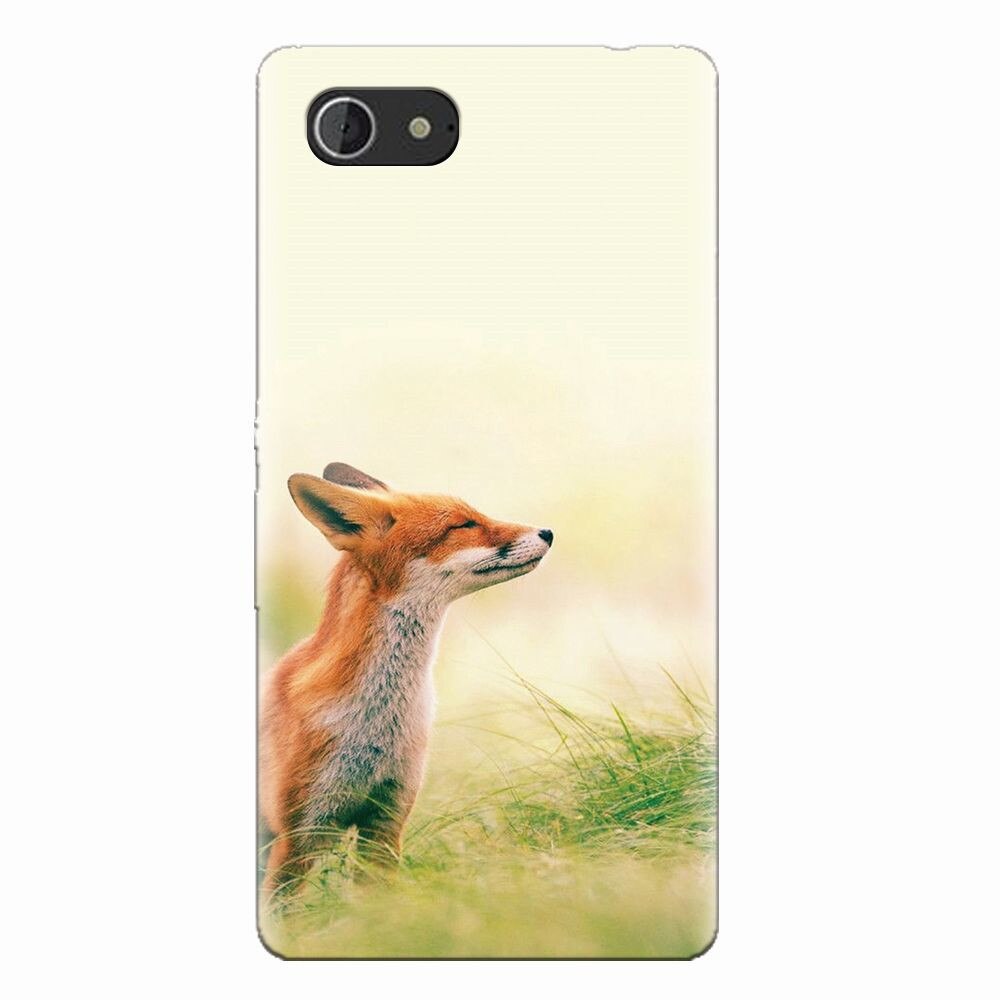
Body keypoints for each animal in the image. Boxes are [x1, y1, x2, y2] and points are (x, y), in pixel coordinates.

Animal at [260, 462, 553, 893]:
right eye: (463, 524)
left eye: (475, 514)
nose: (547, 532)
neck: (378, 723)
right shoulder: (297, 836)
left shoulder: (386, 821)